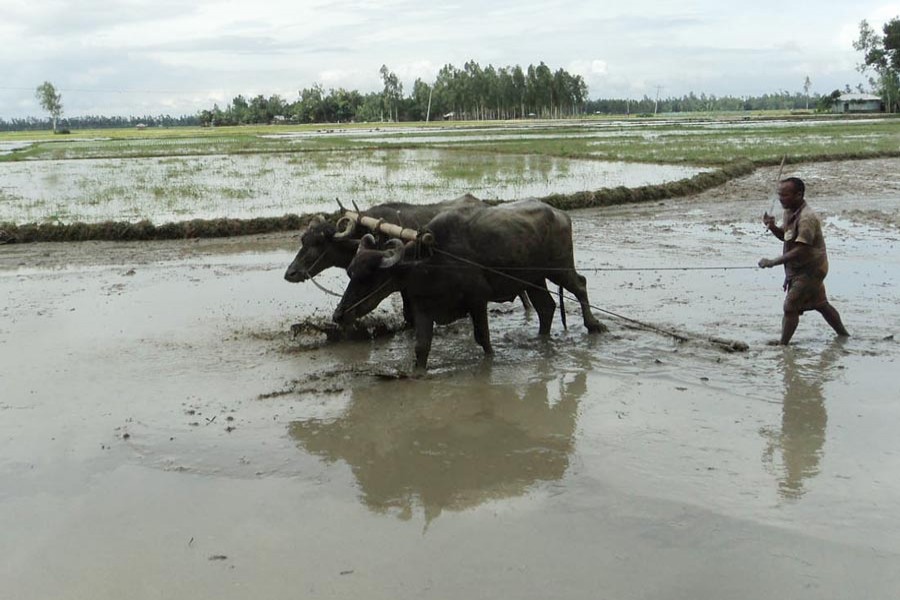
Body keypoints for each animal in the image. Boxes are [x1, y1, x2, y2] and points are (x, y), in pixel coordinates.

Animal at [330, 198, 604, 370]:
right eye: (351, 273)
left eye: (368, 278)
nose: (339, 315)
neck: (429, 262)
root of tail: (560, 214)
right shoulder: (423, 309)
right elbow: (421, 347)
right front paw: (417, 373)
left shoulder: (477, 300)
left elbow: (483, 339)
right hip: (534, 279)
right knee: (546, 307)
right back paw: (541, 340)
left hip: (559, 268)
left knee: (580, 285)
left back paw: (593, 325)